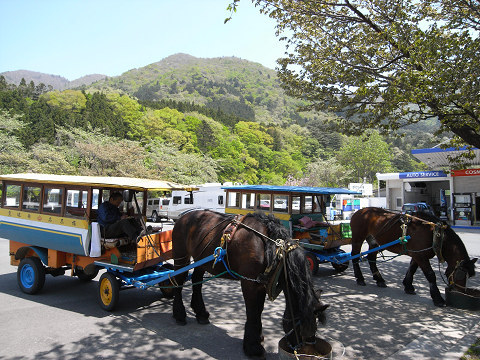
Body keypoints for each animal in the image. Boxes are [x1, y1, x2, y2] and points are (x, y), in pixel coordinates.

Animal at [171, 210, 328, 358]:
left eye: (315, 327)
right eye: (301, 328)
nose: (304, 351)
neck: (270, 247)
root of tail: (184, 216)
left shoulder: (260, 284)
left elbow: (258, 311)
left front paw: (258, 338)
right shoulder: (249, 283)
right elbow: (253, 312)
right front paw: (253, 347)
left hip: (201, 261)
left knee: (197, 282)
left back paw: (201, 313)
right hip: (181, 257)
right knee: (178, 281)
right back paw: (179, 314)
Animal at [348, 208, 476, 306]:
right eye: (461, 274)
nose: (461, 292)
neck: (435, 234)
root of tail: (359, 212)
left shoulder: (417, 254)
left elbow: (412, 269)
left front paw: (408, 286)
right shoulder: (420, 256)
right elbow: (431, 275)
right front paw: (437, 298)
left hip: (374, 242)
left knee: (371, 258)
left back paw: (379, 279)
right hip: (358, 239)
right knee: (354, 256)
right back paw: (360, 278)